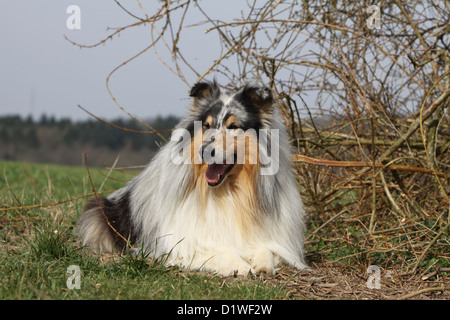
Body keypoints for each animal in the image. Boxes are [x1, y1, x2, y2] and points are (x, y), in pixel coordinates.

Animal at [79, 80, 308, 276]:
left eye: (233, 126)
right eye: (206, 125)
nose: (204, 151)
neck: (229, 192)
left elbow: (266, 249)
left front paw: (262, 264)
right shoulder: (183, 242)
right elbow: (220, 250)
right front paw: (241, 266)